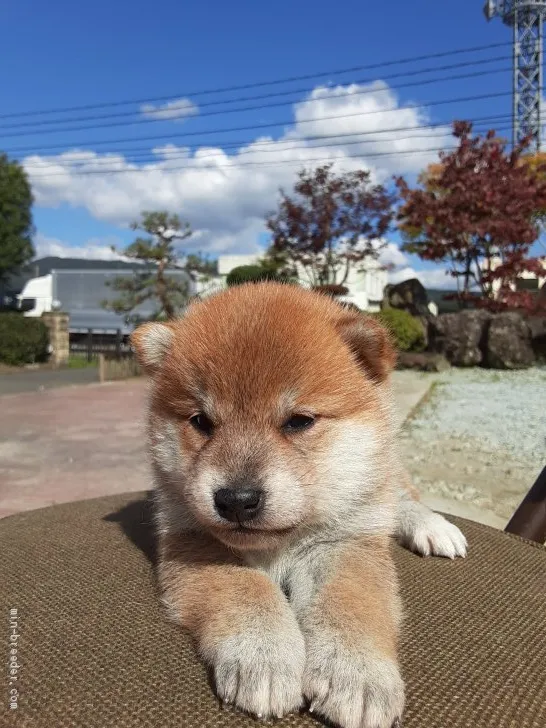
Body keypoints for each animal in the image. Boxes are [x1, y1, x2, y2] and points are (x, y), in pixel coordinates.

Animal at [131, 282, 464, 728]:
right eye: (201, 422)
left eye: (299, 421)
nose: (237, 500)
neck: (279, 546)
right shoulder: (191, 539)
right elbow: (247, 590)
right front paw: (264, 655)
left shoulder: (346, 544)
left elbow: (349, 604)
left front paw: (358, 672)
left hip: (381, 481)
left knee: (399, 496)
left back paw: (433, 527)